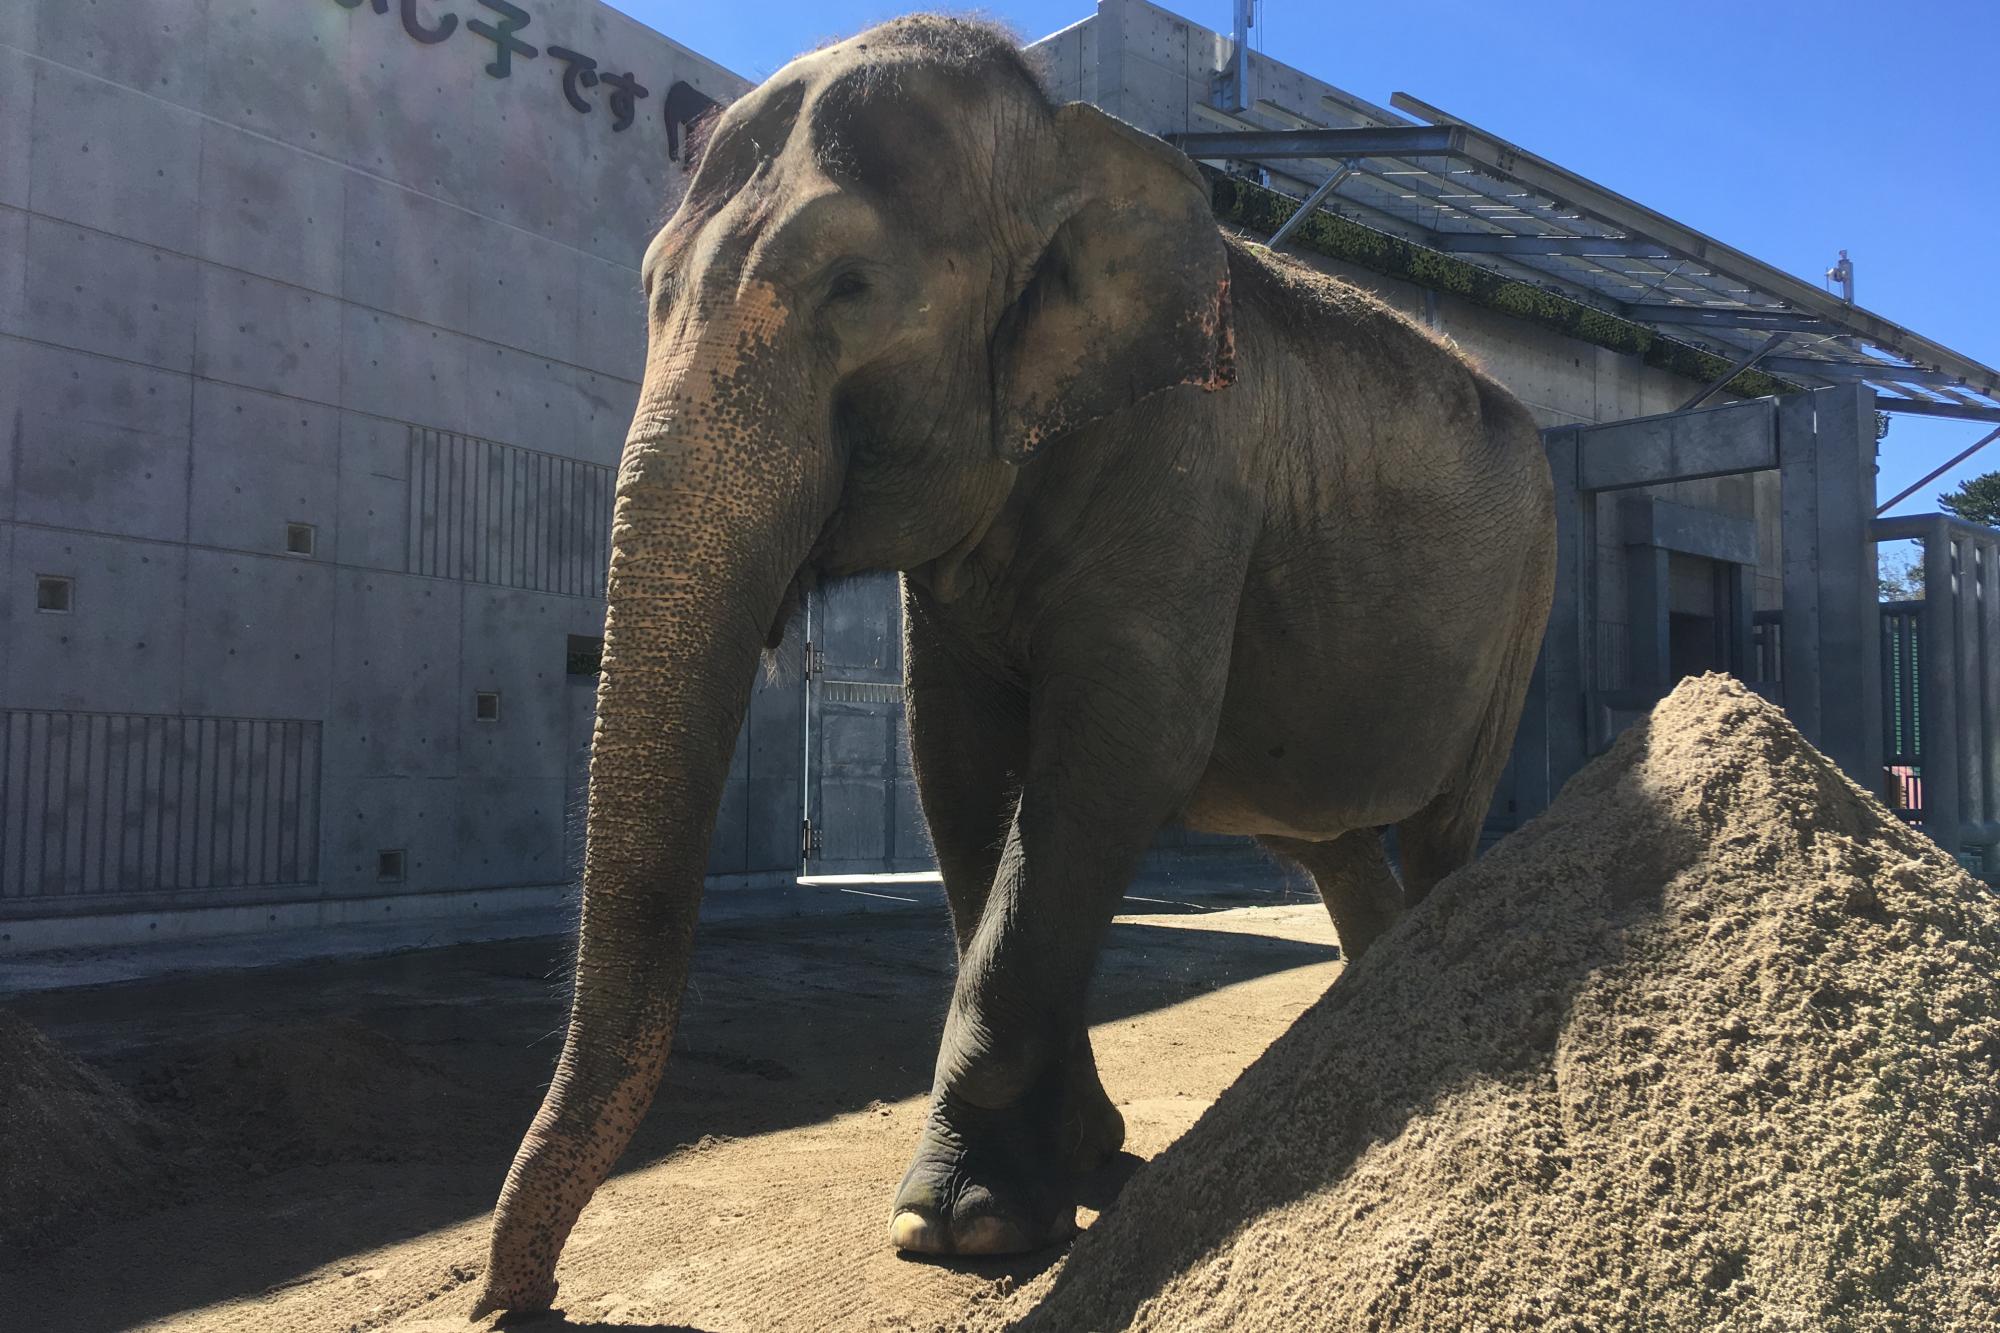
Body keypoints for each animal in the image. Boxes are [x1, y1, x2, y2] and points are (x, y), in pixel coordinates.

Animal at [472, 15, 1560, 1312]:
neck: (1065, 143)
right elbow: (957, 766)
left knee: (1443, 828)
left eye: (850, 288)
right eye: (649, 290)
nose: (515, 1300)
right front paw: (1074, 1160)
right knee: (1336, 848)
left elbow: (1118, 754)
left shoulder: (1184, 473)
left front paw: (962, 1224)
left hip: (1522, 607)